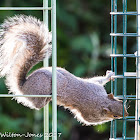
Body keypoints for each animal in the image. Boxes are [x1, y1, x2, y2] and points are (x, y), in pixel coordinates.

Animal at [0, 14, 128, 125]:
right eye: (115, 115)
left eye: (120, 101)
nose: (127, 115)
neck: (100, 100)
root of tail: (23, 86)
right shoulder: (89, 113)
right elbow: (88, 120)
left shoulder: (96, 86)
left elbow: (97, 80)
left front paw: (109, 75)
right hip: (41, 89)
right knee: (37, 105)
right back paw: (47, 99)